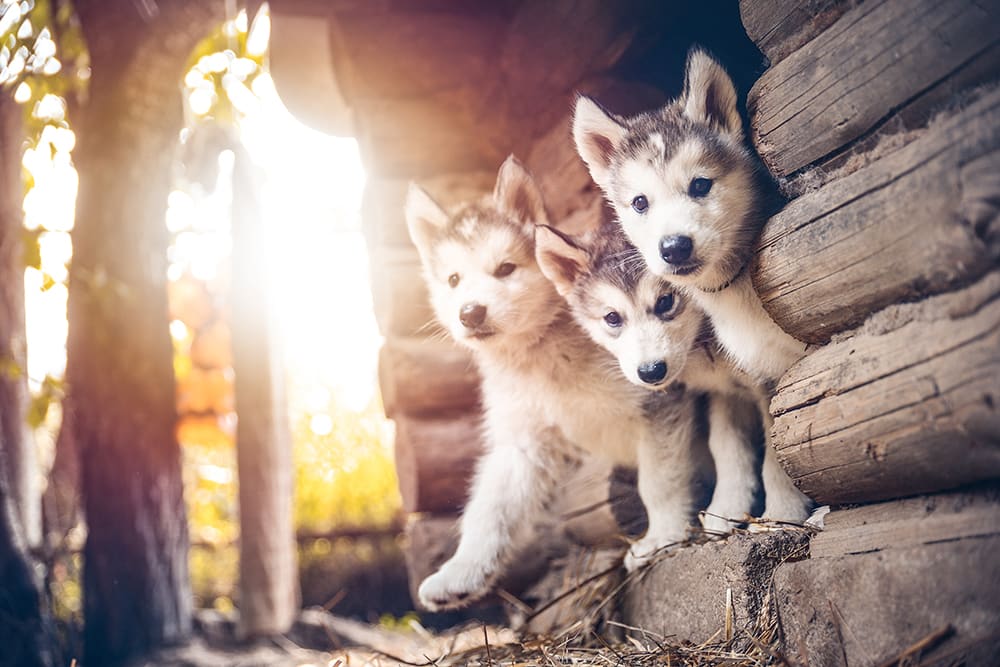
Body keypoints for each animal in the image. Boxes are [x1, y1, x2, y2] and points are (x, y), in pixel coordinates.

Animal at [404, 158, 712, 612]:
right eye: (453, 280)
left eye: (505, 269)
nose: (470, 313)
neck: (543, 361)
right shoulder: (524, 440)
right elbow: (489, 509)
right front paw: (461, 572)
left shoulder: (659, 403)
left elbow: (659, 481)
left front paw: (663, 536)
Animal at [572, 49, 812, 524]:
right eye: (640, 202)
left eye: (700, 185)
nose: (674, 247)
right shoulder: (733, 389)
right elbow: (732, 448)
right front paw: (726, 512)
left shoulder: (772, 378)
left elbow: (778, 445)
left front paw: (784, 511)